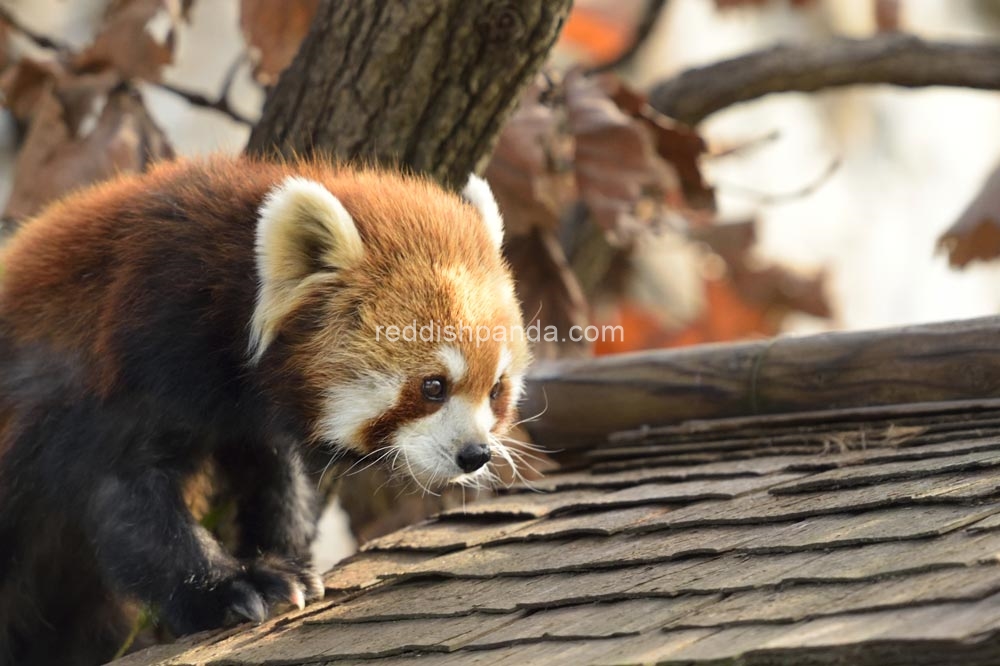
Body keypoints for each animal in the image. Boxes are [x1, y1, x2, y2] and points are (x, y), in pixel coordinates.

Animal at [0, 153, 532, 660]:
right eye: (434, 386)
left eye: (495, 389)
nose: (475, 454)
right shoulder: (131, 348)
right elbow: (124, 492)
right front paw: (231, 588)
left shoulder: (246, 414)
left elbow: (274, 472)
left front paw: (288, 559)